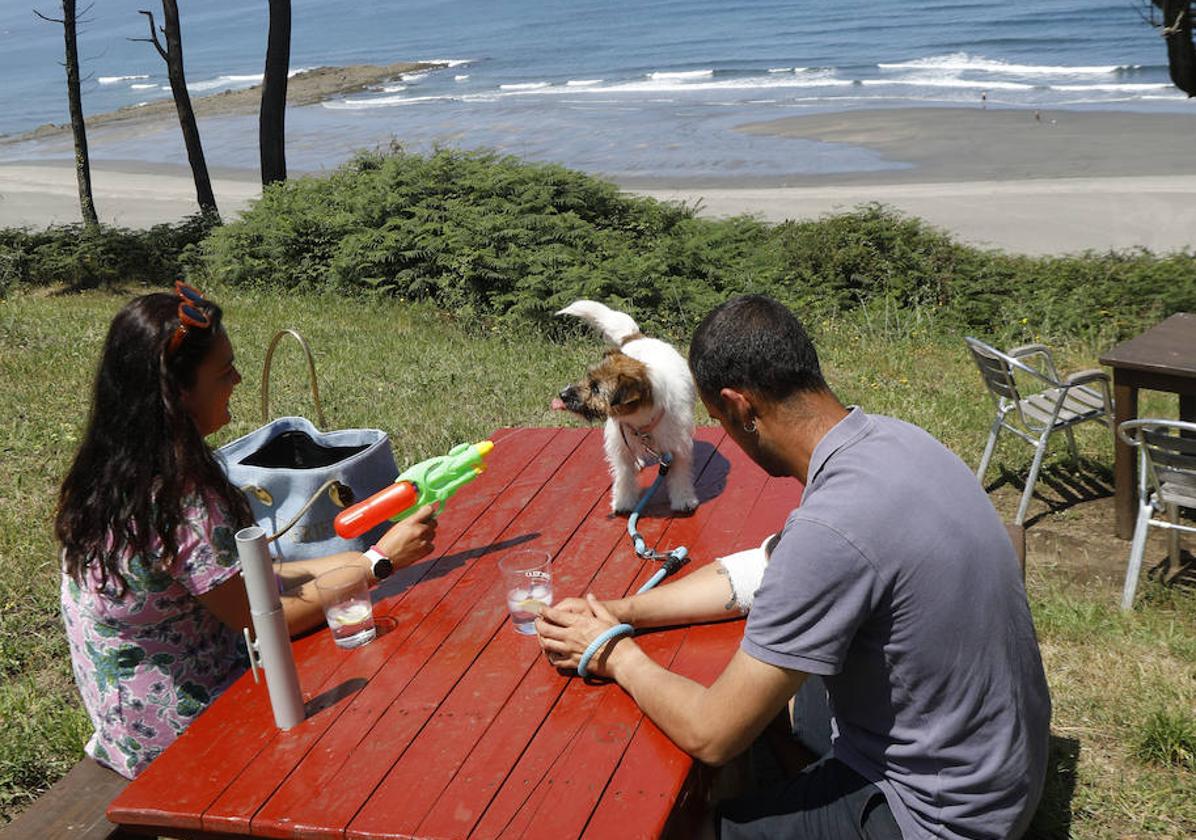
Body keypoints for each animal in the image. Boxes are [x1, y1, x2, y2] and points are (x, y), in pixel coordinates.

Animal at [552, 299, 698, 516]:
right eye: (588, 378)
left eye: (596, 389)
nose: (562, 395)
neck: (640, 421)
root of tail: (637, 336)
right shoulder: (620, 447)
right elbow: (624, 477)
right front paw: (623, 501)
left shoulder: (677, 448)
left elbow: (680, 475)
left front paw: (684, 500)